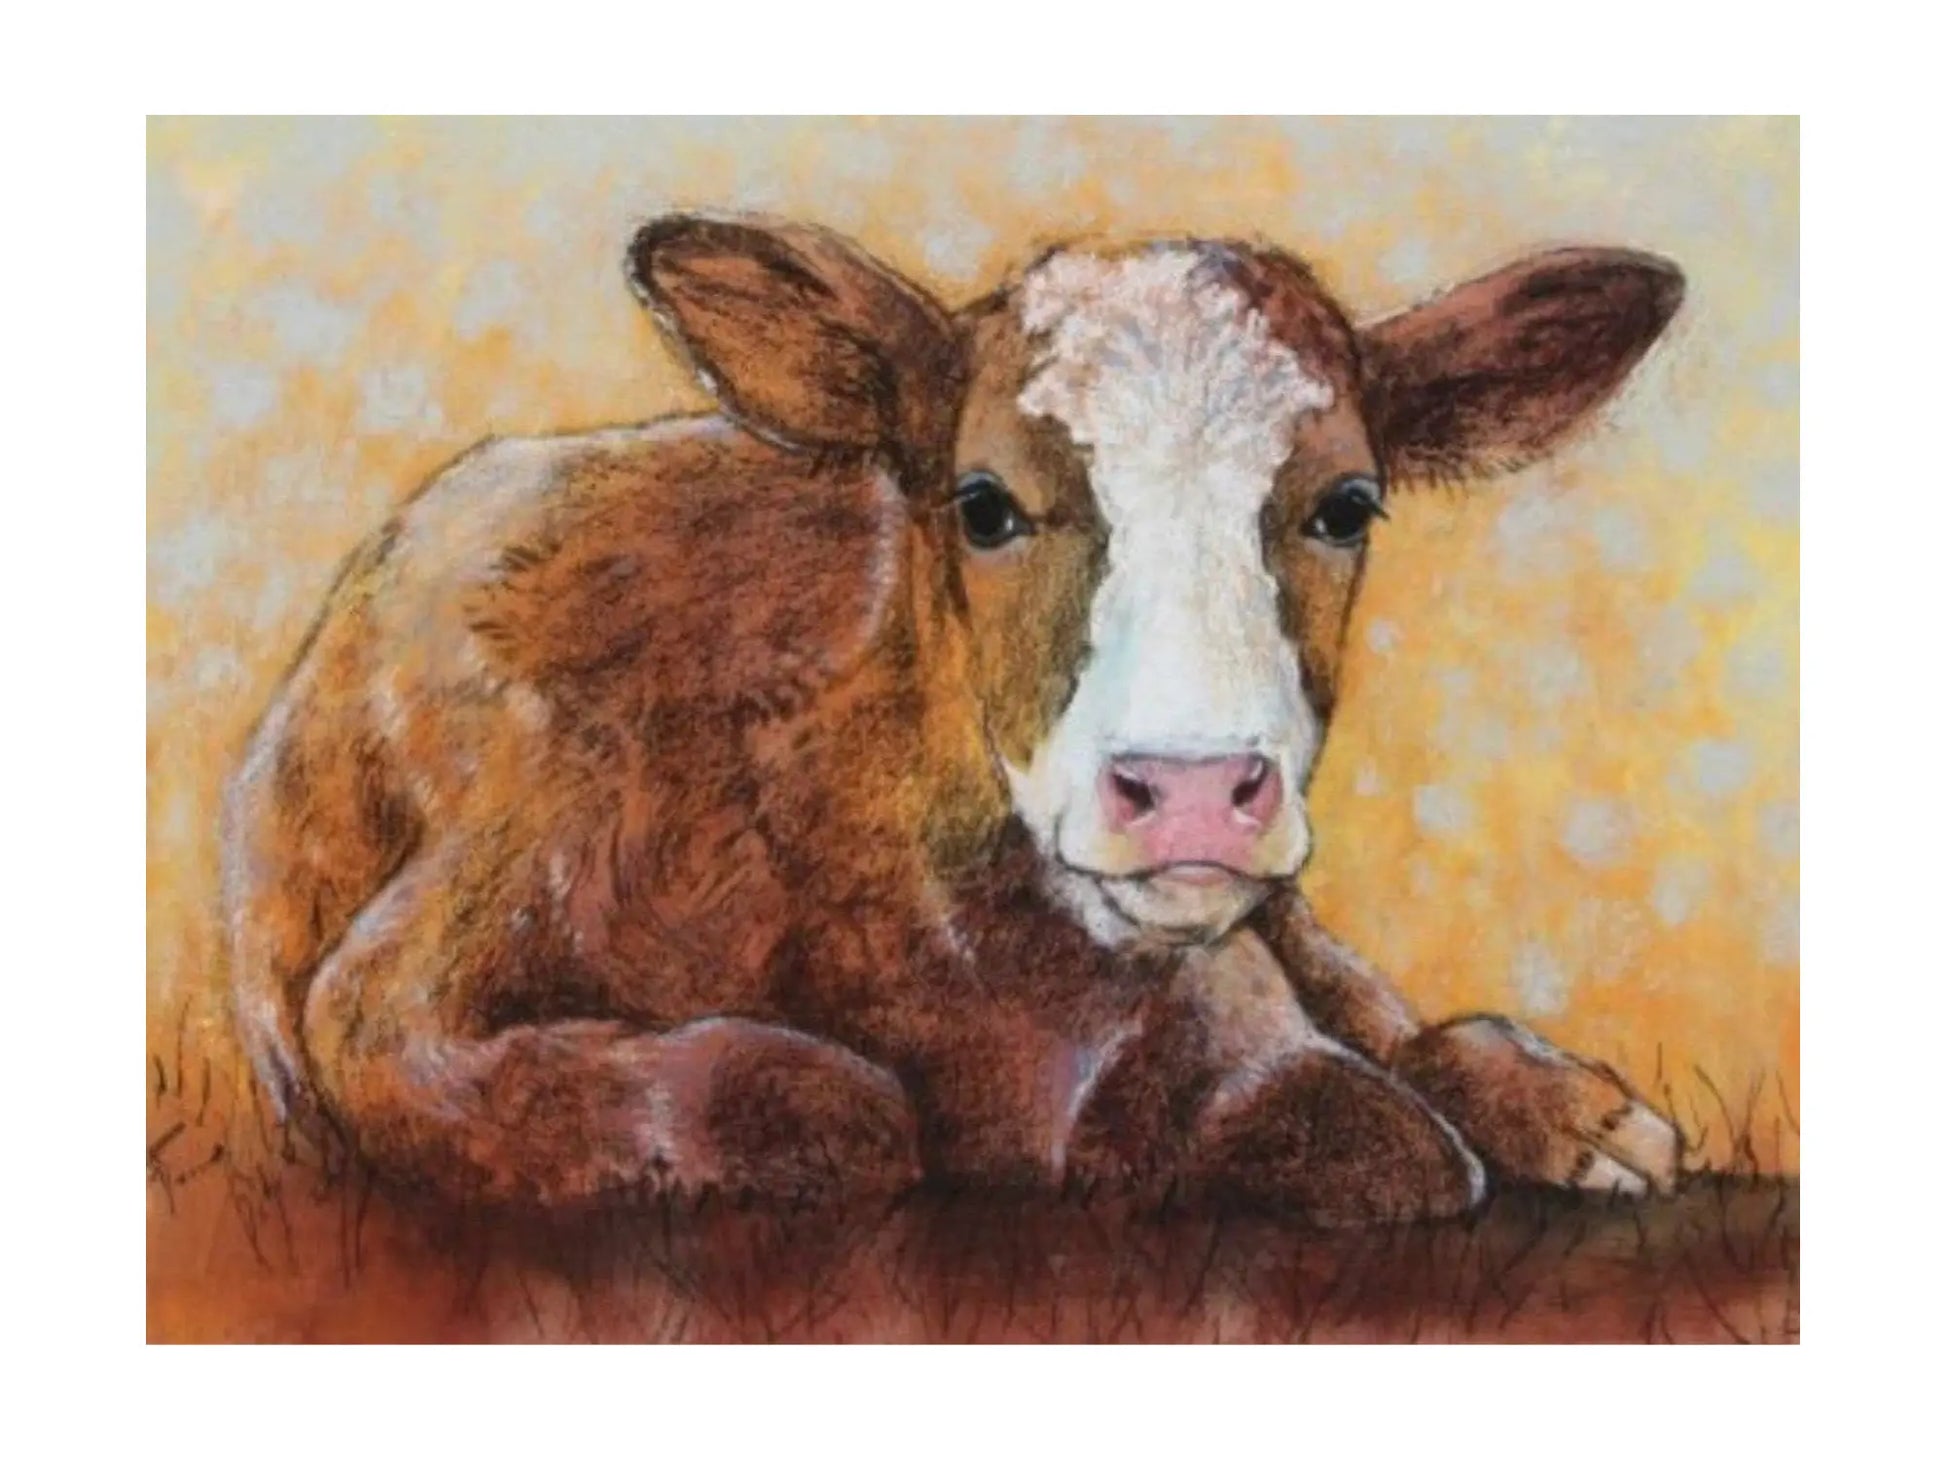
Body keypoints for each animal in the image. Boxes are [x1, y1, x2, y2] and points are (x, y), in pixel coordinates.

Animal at [222, 214, 1685, 1223]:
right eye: (983, 504)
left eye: (1346, 504)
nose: (1194, 791)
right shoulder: (396, 986)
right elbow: (837, 1100)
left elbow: (1345, 1098)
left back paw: (1572, 1108)